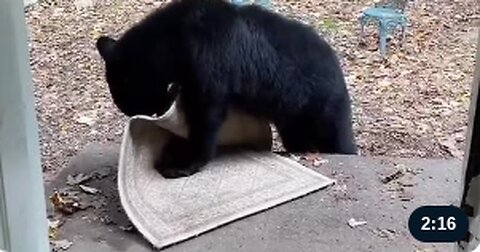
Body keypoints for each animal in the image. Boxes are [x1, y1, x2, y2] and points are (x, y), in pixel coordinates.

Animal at [96, 0, 356, 178]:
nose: (129, 112)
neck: (174, 41)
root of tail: (338, 67)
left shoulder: (210, 58)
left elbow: (206, 115)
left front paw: (182, 163)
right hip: (293, 118)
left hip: (322, 107)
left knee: (336, 137)